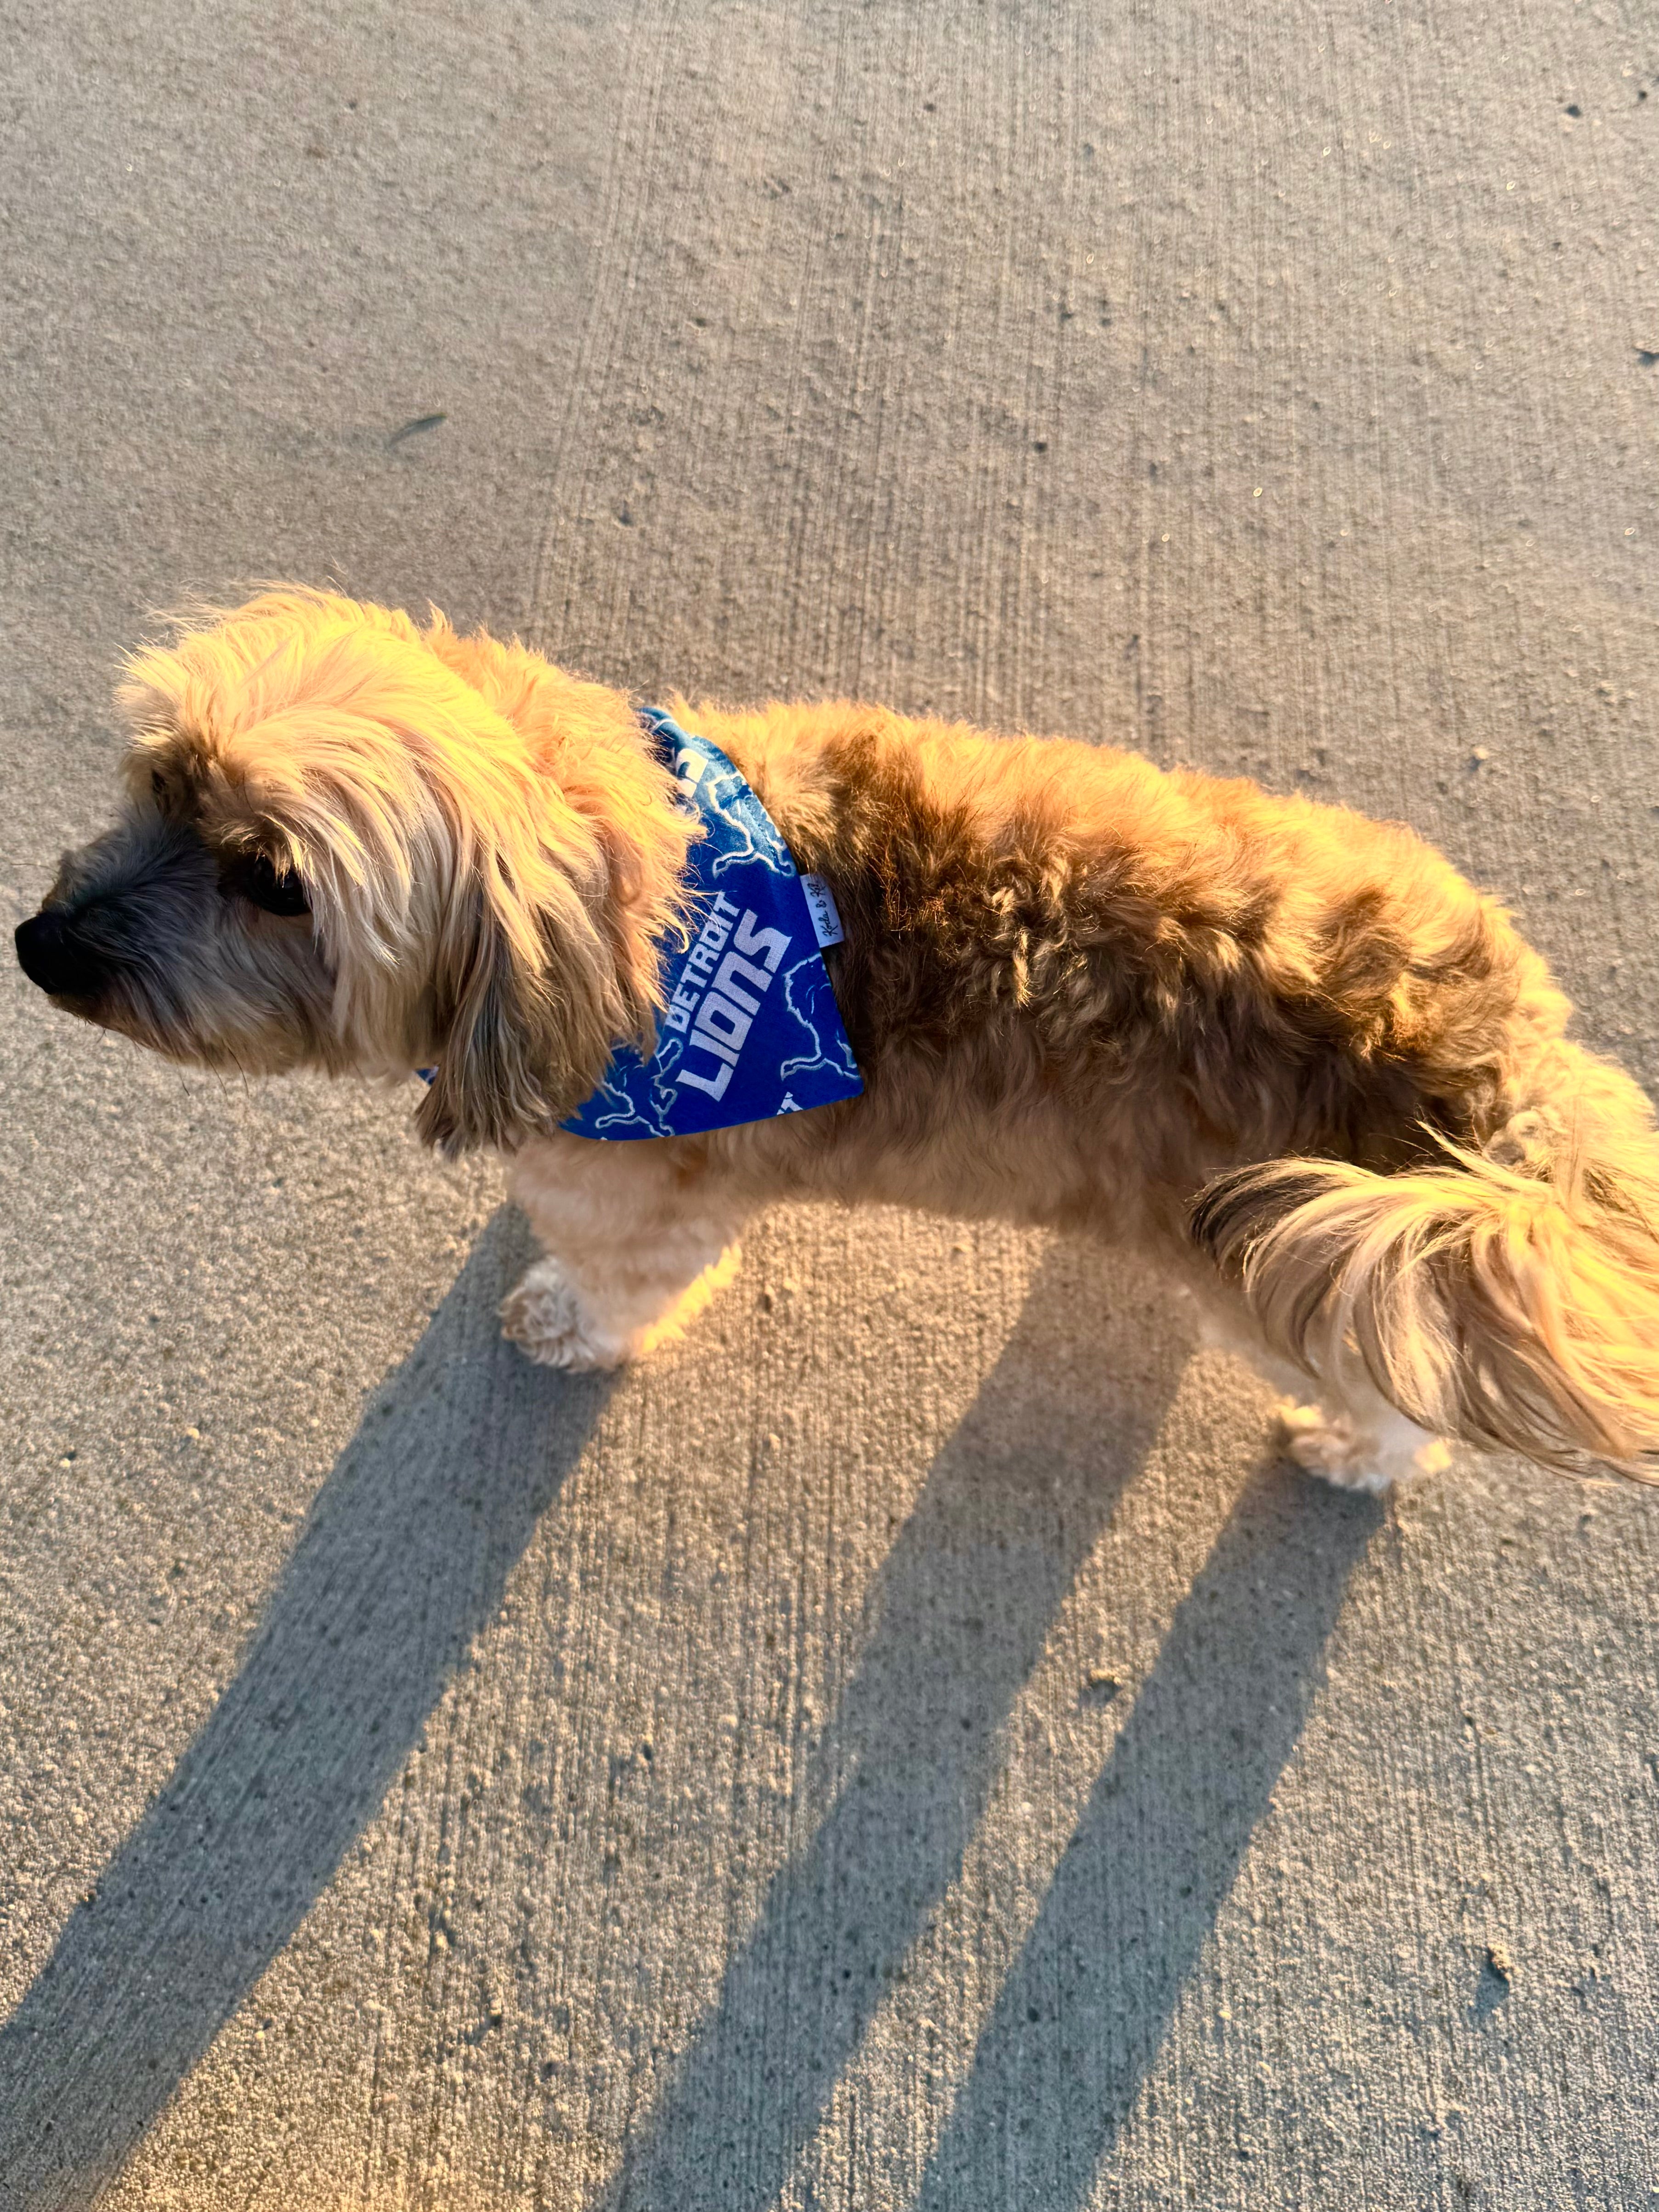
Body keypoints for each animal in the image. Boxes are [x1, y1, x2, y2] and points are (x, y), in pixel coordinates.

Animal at [13, 588, 1659, 1495]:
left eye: (271, 879)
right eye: (155, 780)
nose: (36, 947)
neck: (644, 907)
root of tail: (1502, 1053)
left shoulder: (649, 1211)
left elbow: (613, 1289)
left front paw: (562, 1319)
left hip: (1297, 1273)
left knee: (1389, 1396)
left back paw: (1354, 1451)